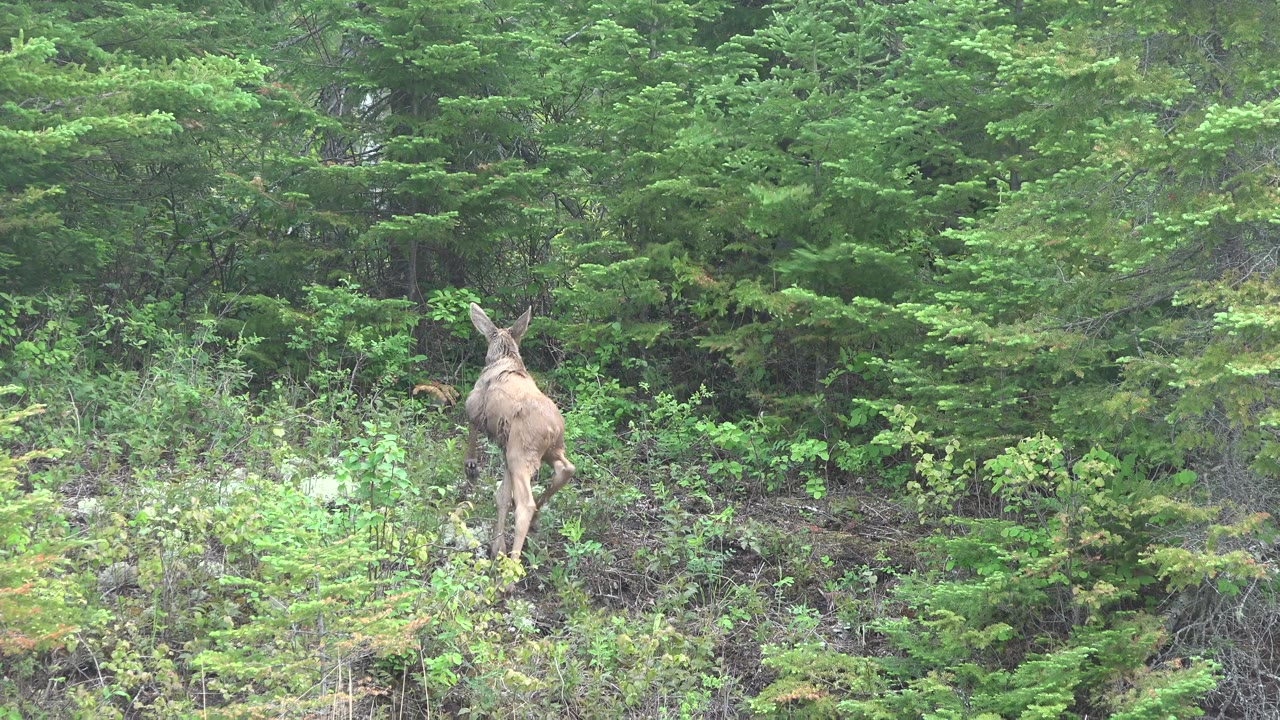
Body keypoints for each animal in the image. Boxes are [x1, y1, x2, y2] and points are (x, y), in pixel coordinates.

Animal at [463, 303, 575, 563]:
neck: (505, 357)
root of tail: (553, 429)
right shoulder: (506, 450)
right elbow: (502, 497)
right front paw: (497, 547)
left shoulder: (474, 403)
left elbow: (471, 427)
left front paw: (471, 465)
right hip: (549, 449)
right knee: (567, 469)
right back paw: (535, 522)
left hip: (521, 452)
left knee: (525, 504)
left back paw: (512, 568)